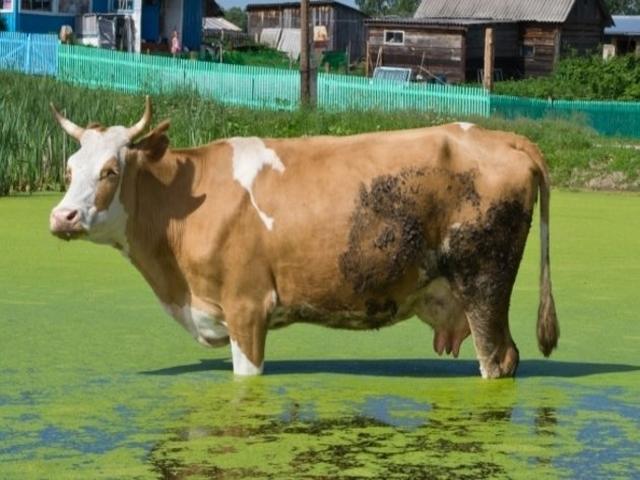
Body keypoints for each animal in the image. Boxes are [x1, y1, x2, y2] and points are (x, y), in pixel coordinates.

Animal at [49, 98, 559, 378]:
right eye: (69, 169)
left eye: (110, 171)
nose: (62, 216)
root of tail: (502, 137)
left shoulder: (247, 309)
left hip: (484, 284)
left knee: (499, 360)